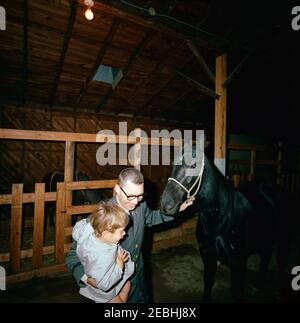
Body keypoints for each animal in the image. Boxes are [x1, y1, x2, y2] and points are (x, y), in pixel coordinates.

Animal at [161, 148, 294, 302]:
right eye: (173, 164)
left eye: (194, 165)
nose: (166, 204)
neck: (220, 217)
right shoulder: (207, 254)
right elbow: (208, 281)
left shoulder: (237, 262)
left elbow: (236, 291)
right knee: (266, 255)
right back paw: (258, 286)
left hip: (284, 238)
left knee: (281, 262)